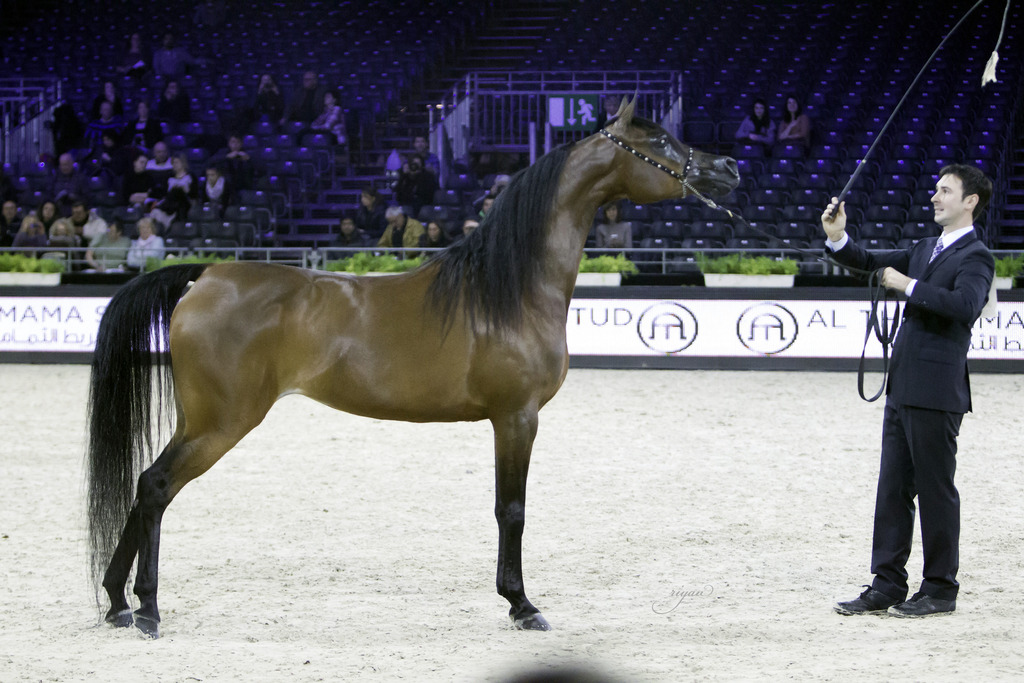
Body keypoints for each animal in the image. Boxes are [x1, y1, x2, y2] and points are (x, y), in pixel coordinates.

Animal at [86, 97, 739, 637]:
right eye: (661, 143)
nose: (730, 168)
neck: (510, 290)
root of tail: (207, 274)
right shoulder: (516, 417)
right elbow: (512, 510)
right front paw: (521, 604)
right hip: (221, 423)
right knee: (157, 486)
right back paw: (148, 608)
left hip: (198, 421)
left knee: (143, 486)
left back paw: (117, 603)